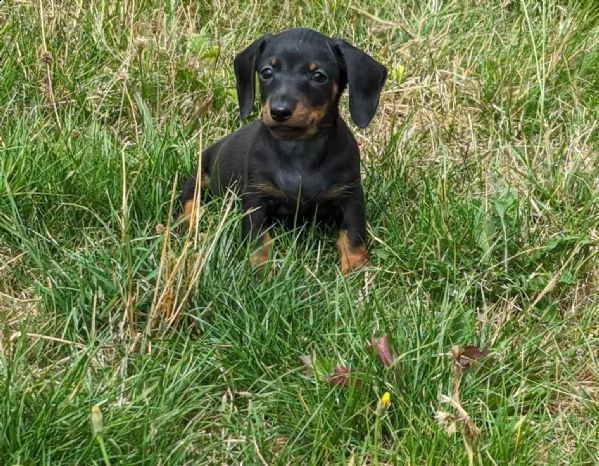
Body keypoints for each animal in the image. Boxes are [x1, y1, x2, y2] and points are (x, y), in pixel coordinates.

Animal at [183, 28, 386, 274]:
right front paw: (260, 273)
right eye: (266, 72)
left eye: (319, 76)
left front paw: (355, 272)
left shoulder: (350, 196)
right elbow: (259, 241)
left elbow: (353, 238)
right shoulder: (257, 197)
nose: (279, 111)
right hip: (201, 173)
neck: (298, 149)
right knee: (188, 198)